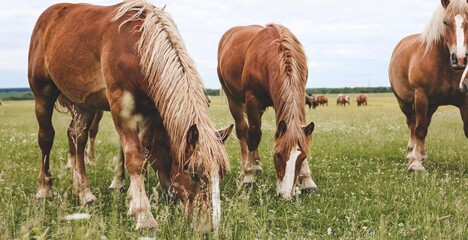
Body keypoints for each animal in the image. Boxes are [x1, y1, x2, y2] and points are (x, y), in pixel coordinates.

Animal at [28, 0, 233, 232]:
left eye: (221, 174)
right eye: (194, 174)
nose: (208, 227)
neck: (139, 49)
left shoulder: (150, 112)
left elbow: (145, 149)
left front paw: (132, 200)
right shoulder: (121, 108)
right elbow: (135, 158)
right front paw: (144, 216)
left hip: (84, 104)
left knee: (77, 138)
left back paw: (83, 192)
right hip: (42, 93)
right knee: (46, 138)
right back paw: (45, 190)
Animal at [218, 24, 316, 201]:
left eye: (303, 157)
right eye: (278, 155)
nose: (285, 196)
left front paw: (307, 180)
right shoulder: (252, 100)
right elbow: (253, 136)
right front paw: (248, 177)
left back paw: (256, 165)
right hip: (232, 98)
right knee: (243, 131)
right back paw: (246, 167)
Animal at [388, 0, 468, 172]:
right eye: (445, 22)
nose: (459, 59)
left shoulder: (465, 100)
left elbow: (466, 129)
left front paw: (419, 158)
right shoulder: (421, 97)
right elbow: (419, 130)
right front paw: (415, 164)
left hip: (431, 106)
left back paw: (422, 155)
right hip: (404, 102)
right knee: (413, 124)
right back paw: (412, 154)